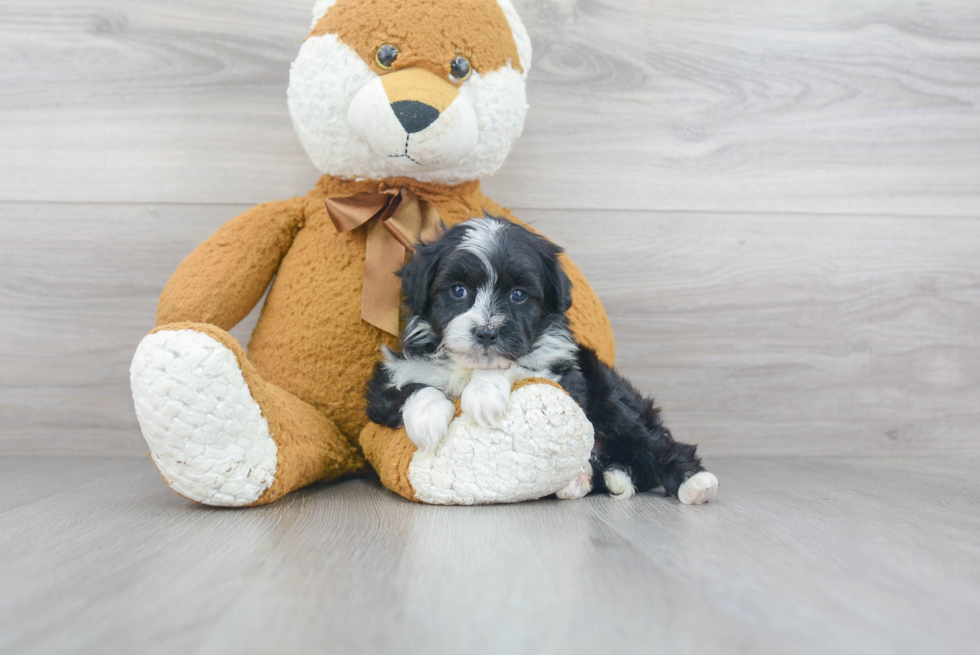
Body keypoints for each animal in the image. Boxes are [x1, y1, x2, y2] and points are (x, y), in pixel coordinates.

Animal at [368, 218, 720, 504]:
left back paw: (694, 483)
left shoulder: (568, 376)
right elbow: (412, 386)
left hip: (611, 400)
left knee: (650, 440)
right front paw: (426, 420)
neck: (471, 365)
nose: (487, 333)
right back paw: (582, 481)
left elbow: (519, 365)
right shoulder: (385, 383)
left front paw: (483, 394)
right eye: (458, 291)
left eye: (518, 295)